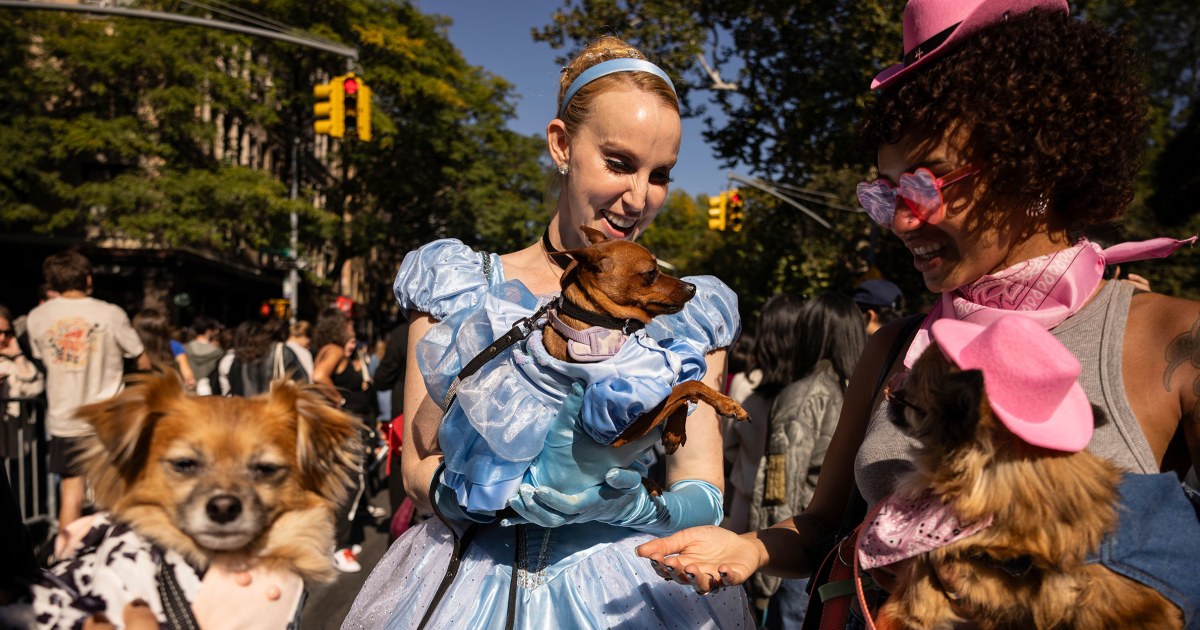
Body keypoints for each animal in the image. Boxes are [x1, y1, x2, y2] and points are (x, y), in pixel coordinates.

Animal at [544, 224, 748, 451]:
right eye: (651, 273)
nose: (692, 288)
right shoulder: (620, 428)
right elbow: (688, 386)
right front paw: (728, 404)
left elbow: (681, 392)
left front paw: (675, 432)